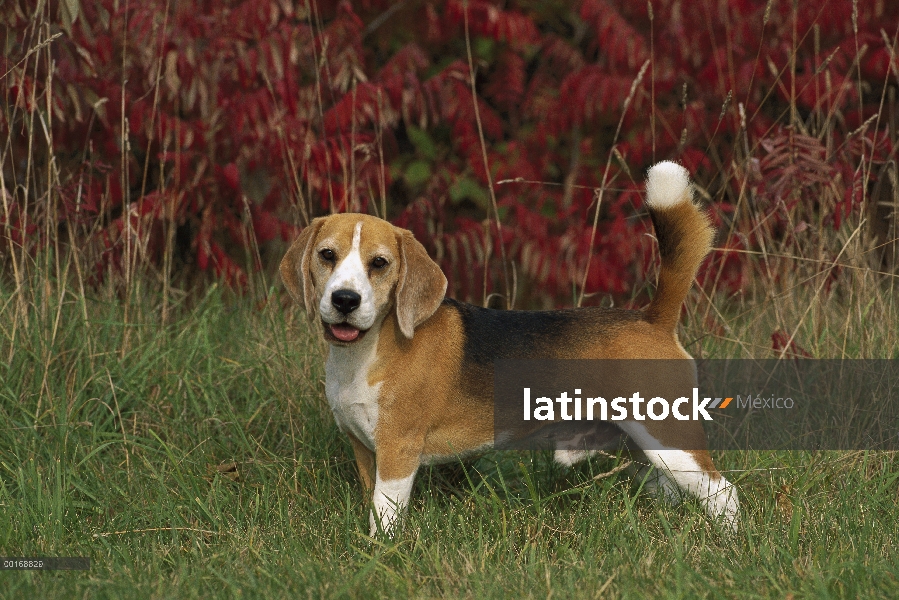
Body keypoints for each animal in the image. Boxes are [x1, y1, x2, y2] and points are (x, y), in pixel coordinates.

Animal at [280, 161, 740, 536]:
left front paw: (383, 552)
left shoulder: (397, 450)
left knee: (724, 494)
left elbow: (386, 514)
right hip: (651, 447)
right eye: (326, 255)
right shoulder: (363, 449)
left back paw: (731, 539)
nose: (345, 300)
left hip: (670, 439)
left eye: (379, 263)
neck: (366, 351)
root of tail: (652, 318)